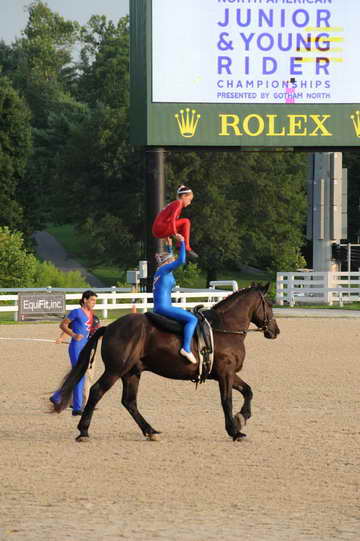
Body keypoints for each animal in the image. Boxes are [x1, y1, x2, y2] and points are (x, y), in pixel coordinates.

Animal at [52, 282, 280, 438]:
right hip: (116, 370)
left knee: (129, 402)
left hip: (132, 373)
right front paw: (234, 430)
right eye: (269, 303)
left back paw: (149, 430)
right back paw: (83, 431)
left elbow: (248, 391)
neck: (224, 327)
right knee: (97, 391)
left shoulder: (228, 374)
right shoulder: (225, 373)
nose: (275, 330)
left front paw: (242, 417)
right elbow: (227, 401)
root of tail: (110, 327)